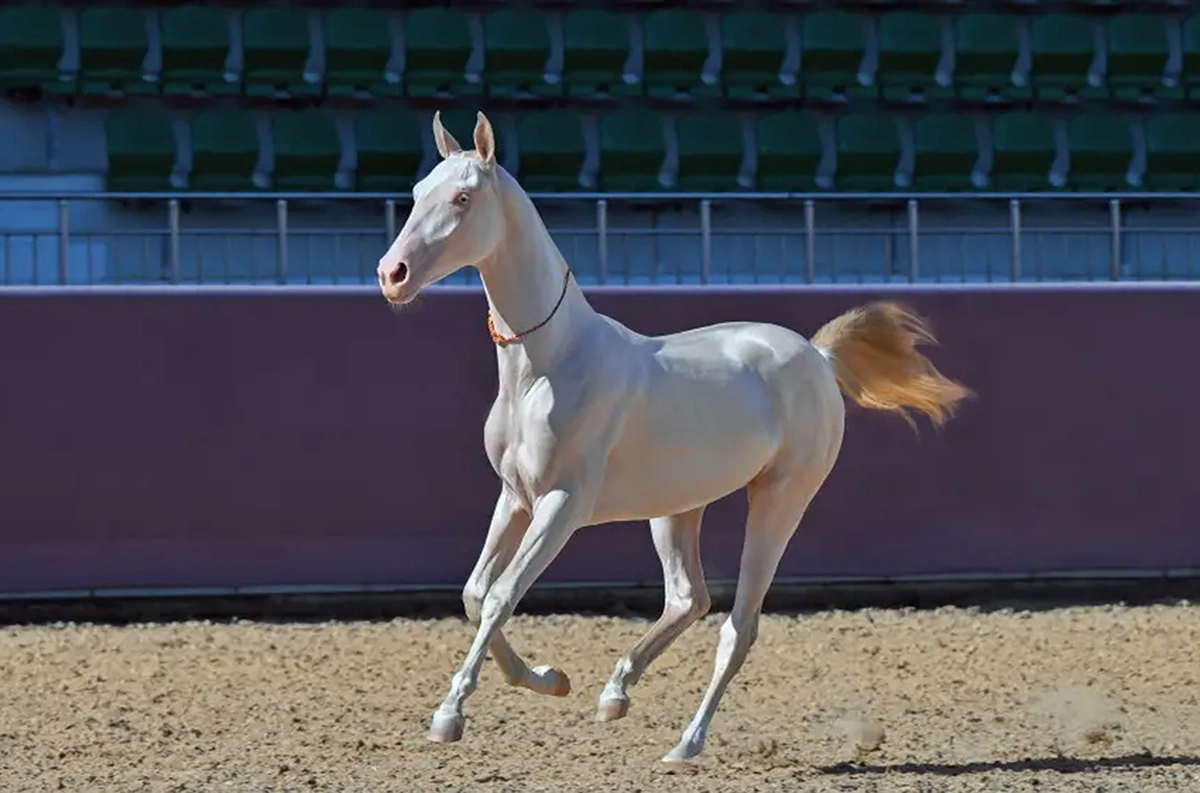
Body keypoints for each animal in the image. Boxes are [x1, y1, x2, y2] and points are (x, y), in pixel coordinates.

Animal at [376, 110, 971, 763]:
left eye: (462, 198)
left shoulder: (562, 505)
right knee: (690, 598)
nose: (392, 275)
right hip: (677, 509)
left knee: (738, 625)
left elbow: (505, 594)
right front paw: (550, 679)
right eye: (416, 193)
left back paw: (687, 743)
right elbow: (477, 594)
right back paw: (615, 694)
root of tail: (817, 356)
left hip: (781, 500)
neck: (549, 366)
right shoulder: (515, 498)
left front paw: (450, 715)